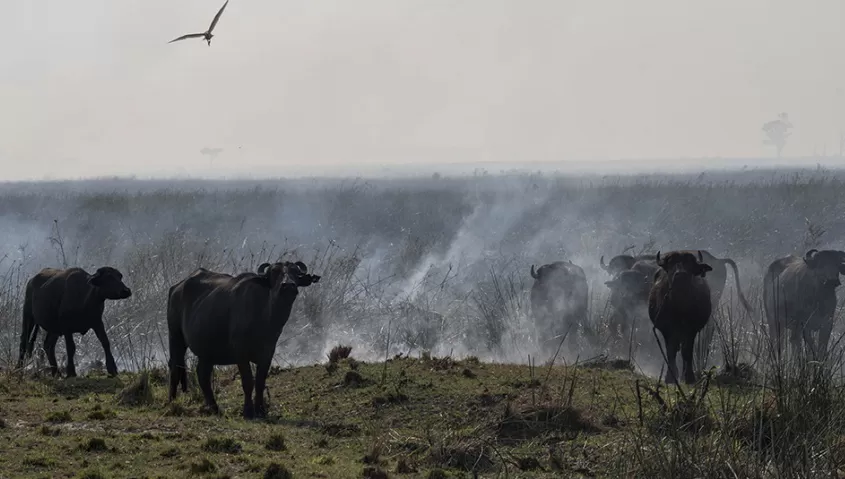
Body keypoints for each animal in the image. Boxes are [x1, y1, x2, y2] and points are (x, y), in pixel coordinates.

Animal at [166, 260, 318, 418]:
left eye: (295, 272)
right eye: (274, 272)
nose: (288, 285)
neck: (265, 318)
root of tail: (176, 287)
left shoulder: (267, 353)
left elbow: (260, 382)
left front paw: (260, 410)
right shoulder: (240, 354)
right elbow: (247, 382)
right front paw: (248, 411)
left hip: (206, 352)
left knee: (202, 374)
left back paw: (214, 407)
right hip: (175, 336)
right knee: (175, 366)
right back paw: (172, 401)